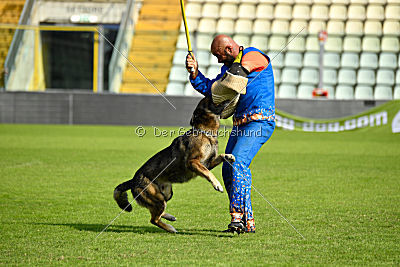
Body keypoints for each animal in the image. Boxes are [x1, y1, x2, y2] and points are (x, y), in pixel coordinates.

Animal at [113, 97, 234, 233]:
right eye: (212, 99)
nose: (231, 98)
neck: (204, 132)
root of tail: (133, 180)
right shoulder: (193, 162)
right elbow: (208, 173)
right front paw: (217, 184)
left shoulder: (207, 163)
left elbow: (220, 157)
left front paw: (228, 156)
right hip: (158, 198)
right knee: (153, 219)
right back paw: (170, 228)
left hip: (167, 194)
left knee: (157, 213)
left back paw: (170, 217)